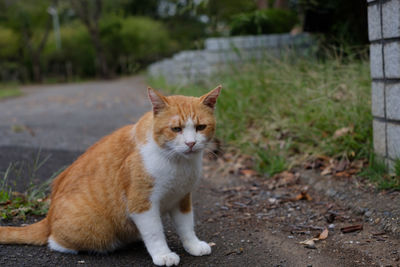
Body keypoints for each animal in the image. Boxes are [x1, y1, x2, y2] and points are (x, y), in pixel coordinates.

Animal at [0, 87, 222, 266]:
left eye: (200, 127)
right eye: (176, 129)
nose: (191, 143)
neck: (178, 162)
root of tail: (48, 216)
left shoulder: (182, 198)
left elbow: (186, 226)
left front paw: (193, 245)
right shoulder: (141, 203)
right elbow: (154, 232)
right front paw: (163, 254)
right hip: (97, 230)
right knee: (54, 241)